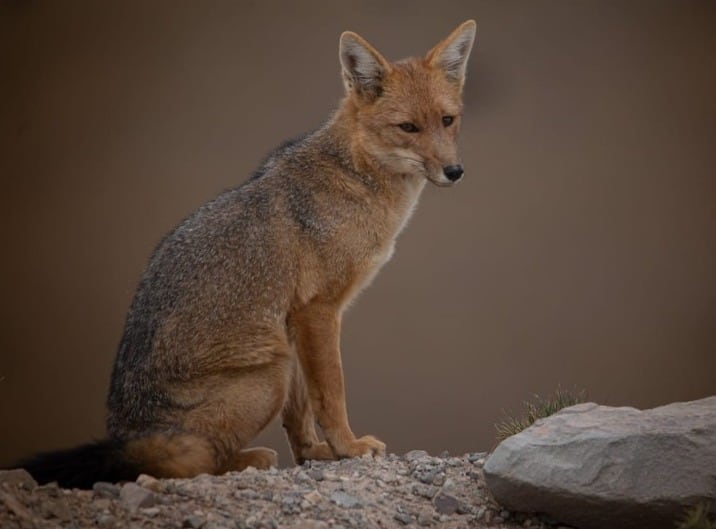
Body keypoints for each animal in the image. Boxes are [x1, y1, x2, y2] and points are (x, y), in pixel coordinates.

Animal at [9, 18, 476, 488]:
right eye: (408, 128)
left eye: (447, 120)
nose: (454, 172)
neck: (358, 178)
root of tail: (127, 436)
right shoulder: (318, 311)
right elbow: (331, 393)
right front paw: (348, 447)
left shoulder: (294, 321)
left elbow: (302, 412)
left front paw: (317, 453)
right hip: (271, 373)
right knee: (193, 461)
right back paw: (250, 457)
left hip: (279, 360)